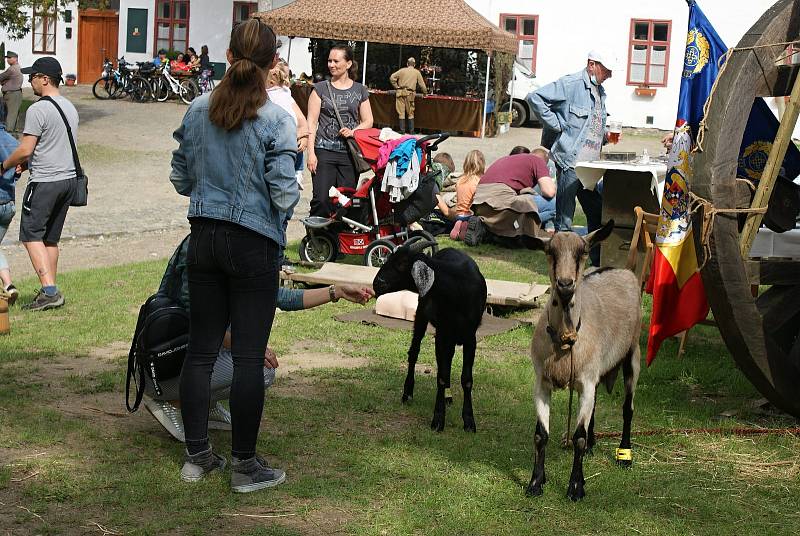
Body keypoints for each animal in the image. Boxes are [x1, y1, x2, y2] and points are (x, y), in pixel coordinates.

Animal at [370, 238, 488, 432]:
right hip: (422, 314)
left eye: (402, 263)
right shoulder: (442, 334)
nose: (377, 283)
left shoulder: (471, 337)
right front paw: (438, 419)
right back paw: (408, 393)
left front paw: (469, 421)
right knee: (415, 352)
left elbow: (466, 379)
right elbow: (441, 376)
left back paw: (448, 396)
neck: (457, 288)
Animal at [520, 220, 644, 500]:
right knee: (596, 405)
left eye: (583, 252)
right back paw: (593, 444)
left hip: (633, 352)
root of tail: (623, 269)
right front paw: (536, 482)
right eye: (550, 251)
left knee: (628, 407)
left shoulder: (586, 381)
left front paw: (576, 487)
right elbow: (540, 435)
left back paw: (625, 454)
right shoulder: (542, 382)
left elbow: (577, 436)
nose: (565, 284)